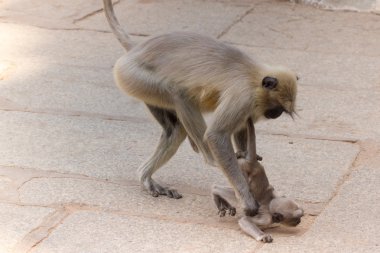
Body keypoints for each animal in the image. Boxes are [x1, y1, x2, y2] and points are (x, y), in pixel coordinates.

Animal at [103, 0, 296, 217]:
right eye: (278, 108)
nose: (276, 114)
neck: (254, 75)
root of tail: (137, 48)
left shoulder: (250, 102)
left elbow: (239, 128)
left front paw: (247, 157)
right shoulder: (243, 95)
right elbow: (216, 135)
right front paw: (245, 196)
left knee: (174, 130)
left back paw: (146, 176)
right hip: (136, 77)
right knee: (178, 94)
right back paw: (209, 157)